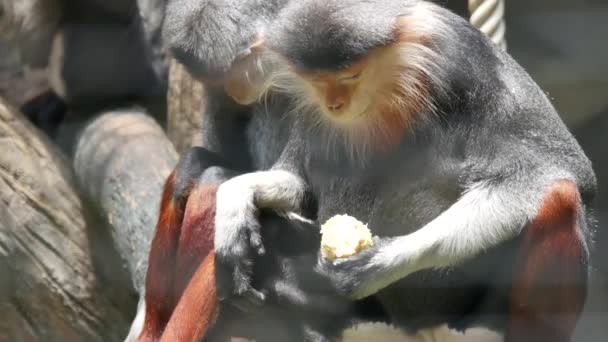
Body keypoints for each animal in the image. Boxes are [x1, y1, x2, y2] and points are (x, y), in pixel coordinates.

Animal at [207, 1, 596, 340]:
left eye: (351, 75)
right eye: (316, 81)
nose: (335, 104)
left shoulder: (463, 59)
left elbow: (556, 168)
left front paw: (383, 261)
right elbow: (301, 185)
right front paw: (234, 202)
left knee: (559, 195)